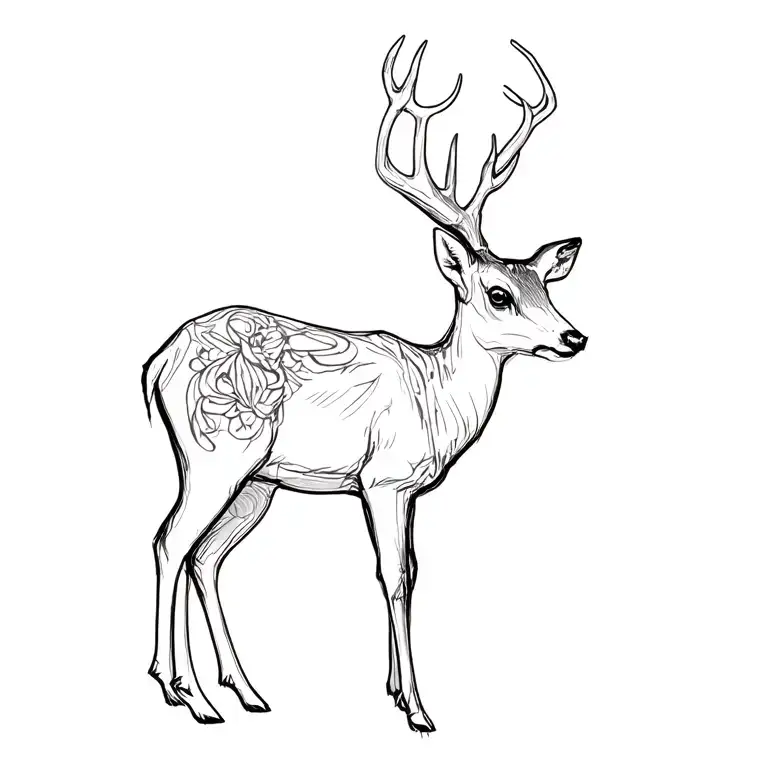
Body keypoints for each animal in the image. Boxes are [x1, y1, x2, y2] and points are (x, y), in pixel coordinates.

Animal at [142, 36, 587, 734]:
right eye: (499, 293)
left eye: (546, 284)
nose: (574, 337)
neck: (438, 398)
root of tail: (157, 361)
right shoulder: (384, 477)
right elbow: (394, 575)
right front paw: (418, 709)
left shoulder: (410, 490)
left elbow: (415, 571)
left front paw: (396, 689)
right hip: (212, 451)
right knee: (170, 540)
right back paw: (184, 692)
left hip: (258, 481)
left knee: (206, 556)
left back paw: (246, 691)